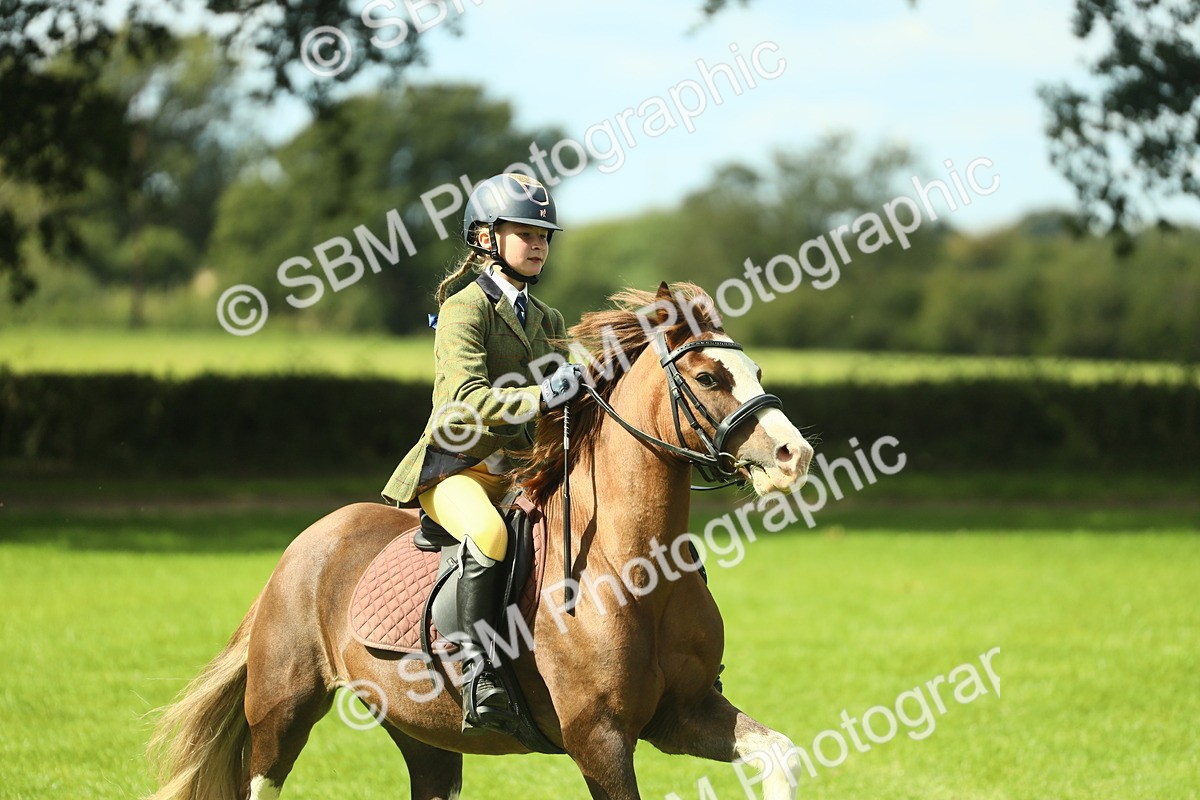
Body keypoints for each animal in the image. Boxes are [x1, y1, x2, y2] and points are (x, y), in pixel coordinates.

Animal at [146, 282, 815, 800]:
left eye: (757, 371)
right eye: (707, 377)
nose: (795, 455)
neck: (634, 566)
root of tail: (306, 542)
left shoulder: (683, 712)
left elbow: (779, 755)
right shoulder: (600, 738)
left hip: (422, 731)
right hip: (281, 712)